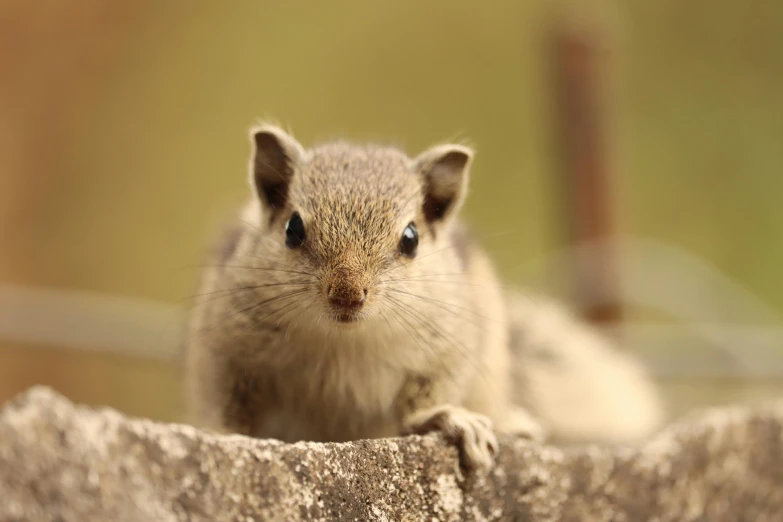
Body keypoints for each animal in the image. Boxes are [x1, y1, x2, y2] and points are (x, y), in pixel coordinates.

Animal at [182, 124, 660, 470]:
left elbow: (426, 399)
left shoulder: (448, 351)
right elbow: (227, 401)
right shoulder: (225, 348)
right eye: (293, 229)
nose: (347, 294)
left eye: (410, 238)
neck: (343, 341)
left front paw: (451, 420)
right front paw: (223, 437)